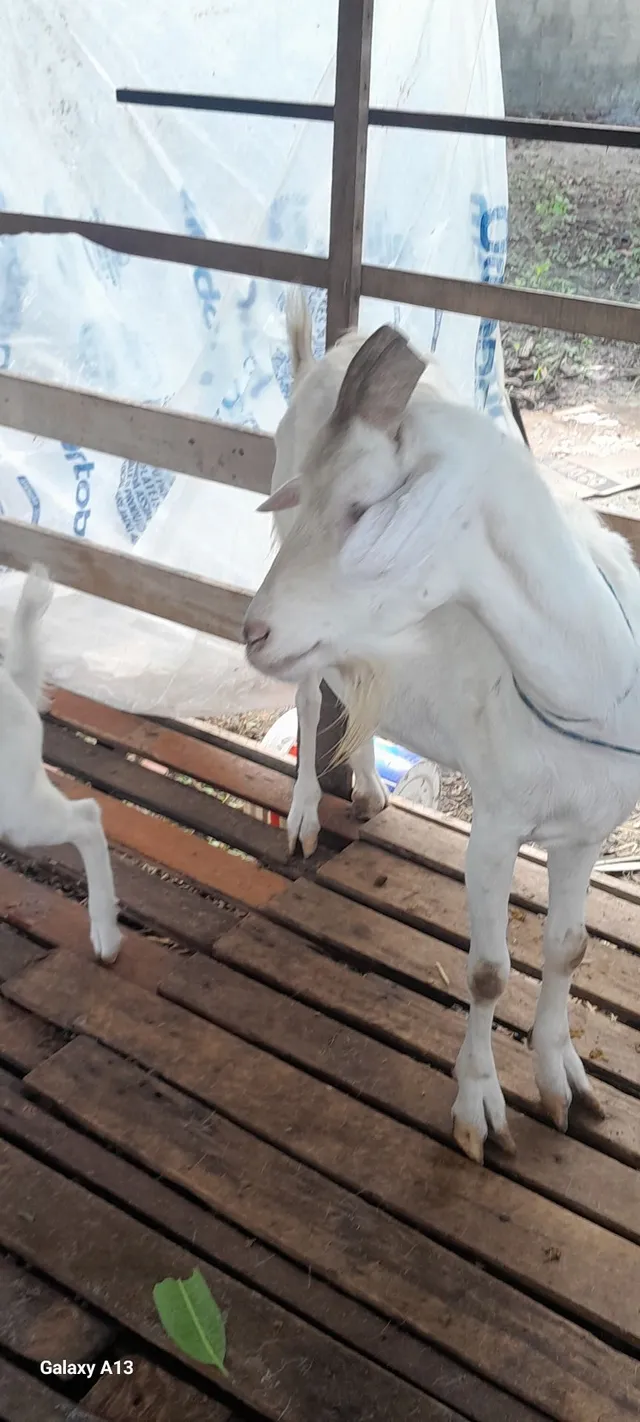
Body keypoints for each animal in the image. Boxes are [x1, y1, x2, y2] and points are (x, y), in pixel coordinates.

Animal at [244, 309, 640, 1164]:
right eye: (312, 495)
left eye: (362, 506)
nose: (253, 629)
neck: (592, 677)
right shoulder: (494, 824)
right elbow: (489, 971)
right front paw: (479, 1108)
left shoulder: (589, 826)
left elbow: (569, 948)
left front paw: (564, 1083)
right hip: (312, 647)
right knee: (309, 698)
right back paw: (305, 816)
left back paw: (367, 788)